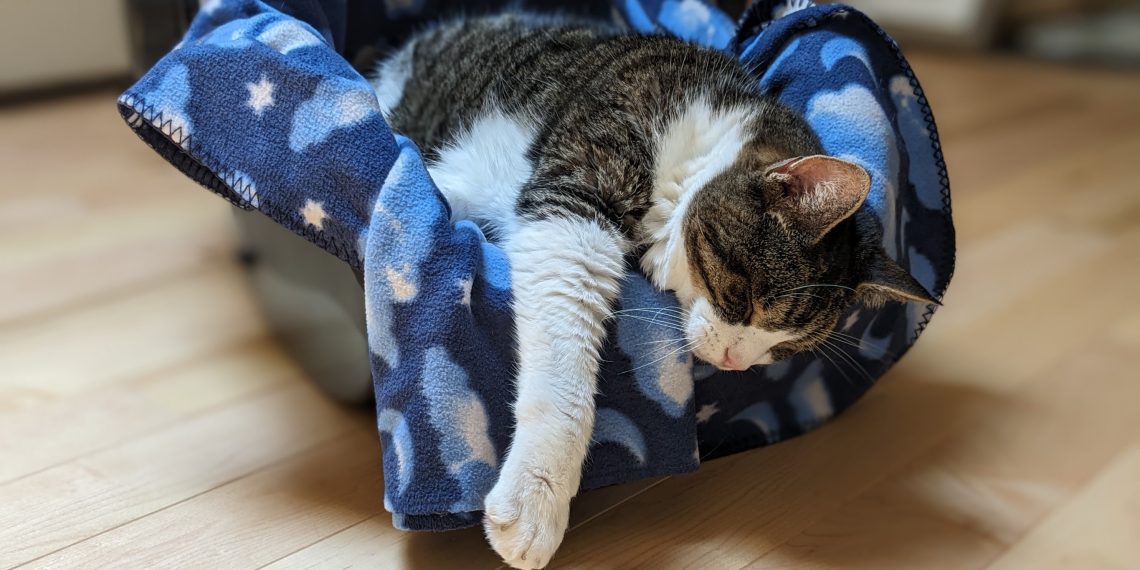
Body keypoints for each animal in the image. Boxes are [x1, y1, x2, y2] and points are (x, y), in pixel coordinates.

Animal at [373, 13, 934, 570]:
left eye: (786, 347)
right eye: (747, 299)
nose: (735, 364)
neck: (688, 149)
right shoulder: (578, 199)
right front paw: (537, 500)